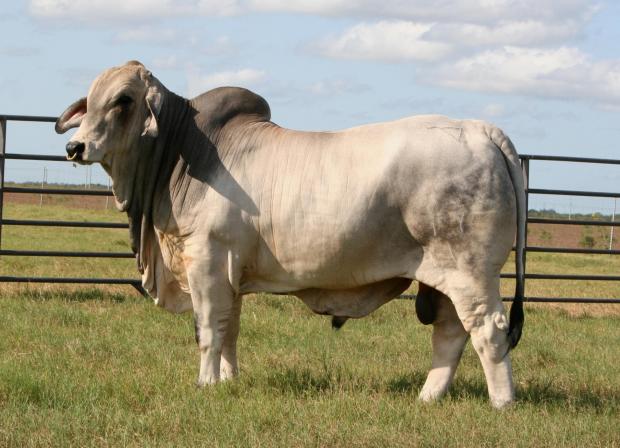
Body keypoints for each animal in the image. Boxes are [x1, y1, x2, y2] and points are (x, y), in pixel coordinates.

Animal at [57, 61, 524, 408]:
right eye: (90, 101)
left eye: (123, 100)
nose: (74, 147)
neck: (180, 151)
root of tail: (482, 130)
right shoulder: (231, 273)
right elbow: (229, 329)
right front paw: (228, 381)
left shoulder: (206, 260)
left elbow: (208, 329)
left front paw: (205, 384)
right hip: (443, 277)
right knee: (450, 333)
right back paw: (428, 397)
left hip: (471, 272)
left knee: (488, 329)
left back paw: (502, 403)